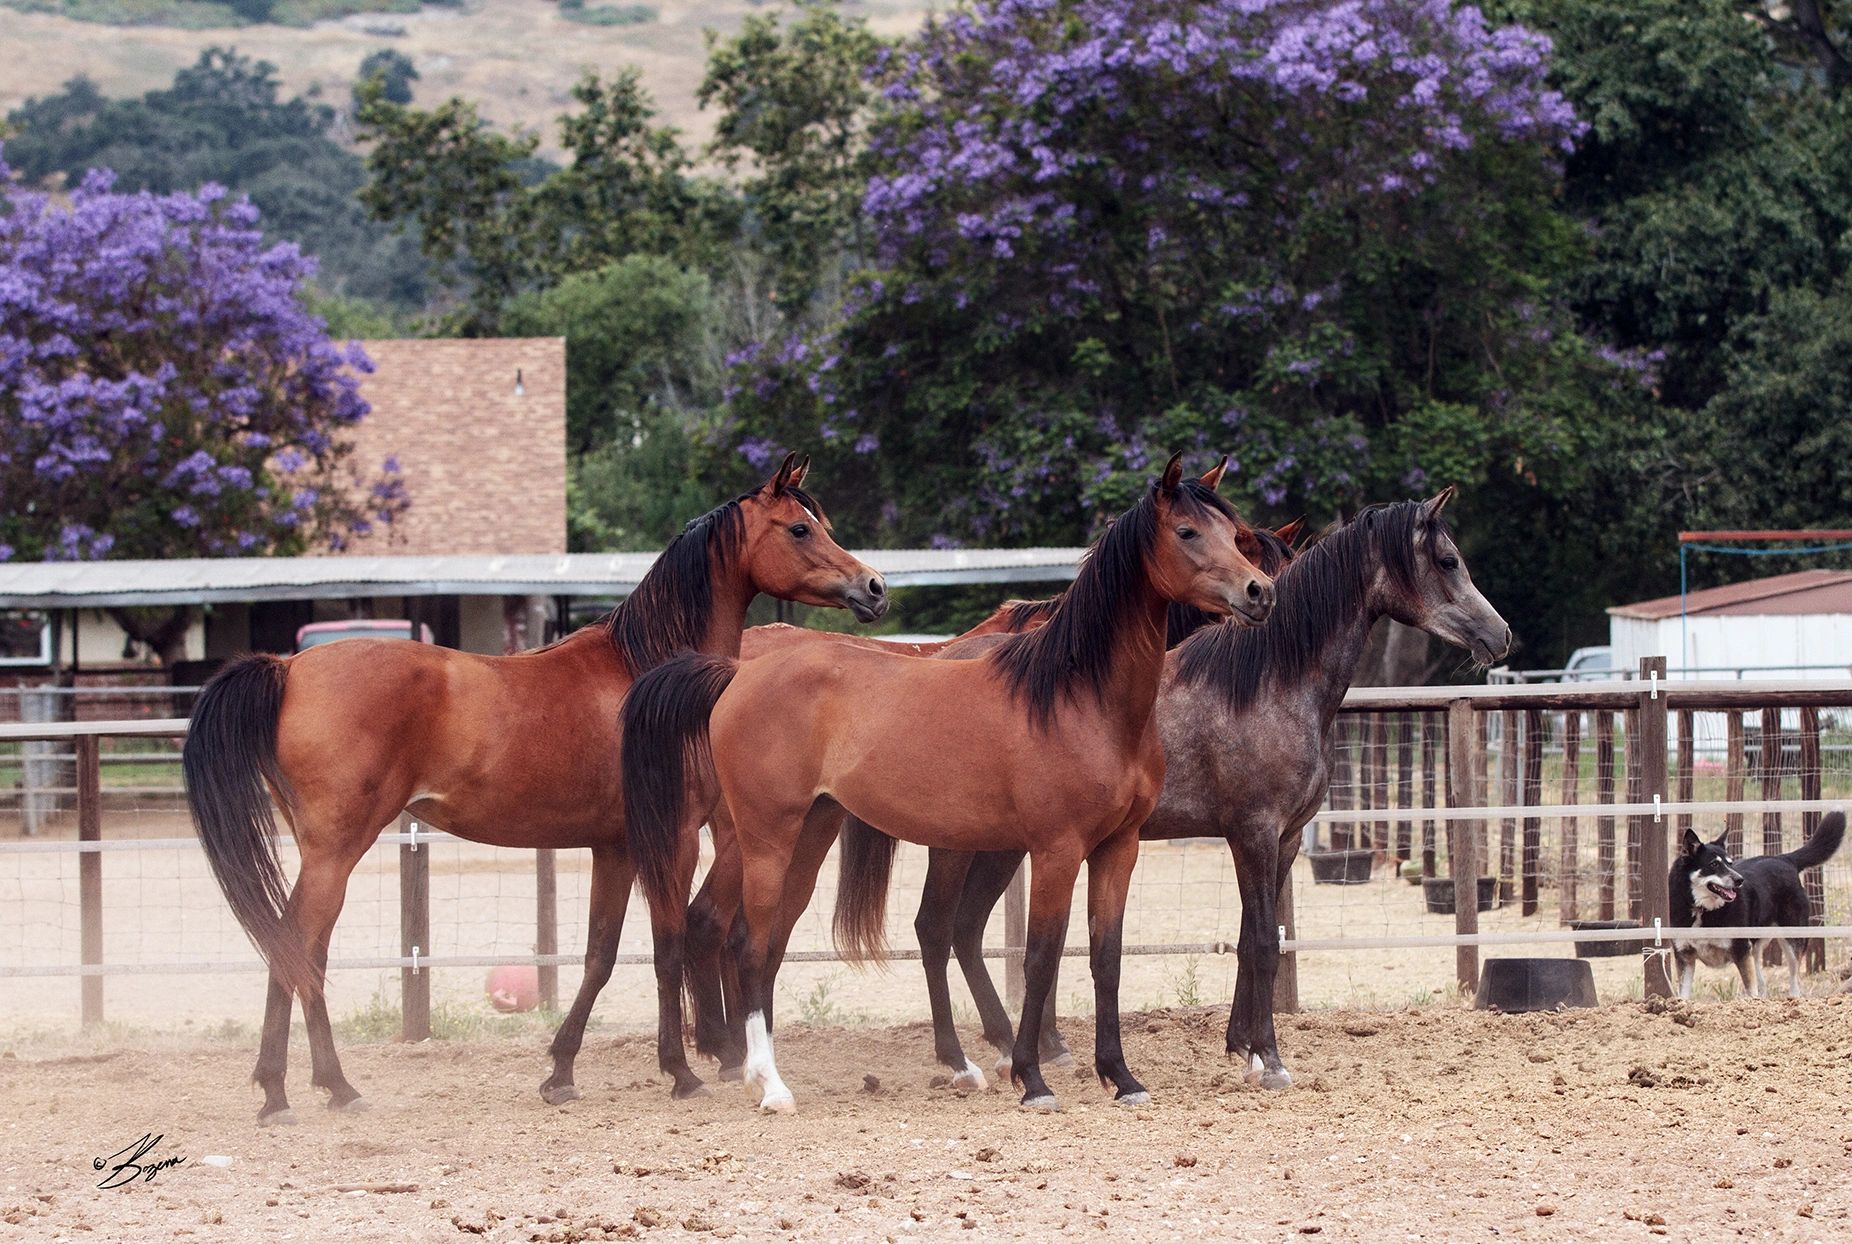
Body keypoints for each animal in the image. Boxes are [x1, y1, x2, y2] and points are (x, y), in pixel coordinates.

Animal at [181, 453, 887, 1124]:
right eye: (799, 528)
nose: (874, 587)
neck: (645, 669)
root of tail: (289, 668)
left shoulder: (616, 847)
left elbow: (600, 956)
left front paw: (561, 1072)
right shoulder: (673, 840)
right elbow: (666, 946)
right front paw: (680, 1073)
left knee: (295, 948)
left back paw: (287, 1090)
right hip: (336, 851)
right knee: (299, 944)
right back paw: (325, 1087)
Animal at [620, 454, 1275, 1113]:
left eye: (1234, 532)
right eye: (1187, 532)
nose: (1260, 592)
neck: (1079, 699)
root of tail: (736, 675)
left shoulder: (1120, 847)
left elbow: (1105, 959)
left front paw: (1122, 1078)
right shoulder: (1057, 850)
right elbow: (1040, 959)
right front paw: (1033, 1079)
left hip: (811, 833)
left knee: (769, 944)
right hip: (765, 838)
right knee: (747, 945)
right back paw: (770, 1085)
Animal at [855, 489, 1511, 1091]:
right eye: (1448, 560)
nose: (1501, 635)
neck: (1268, 682)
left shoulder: (1286, 840)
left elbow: (1252, 939)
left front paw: (1242, 1047)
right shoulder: (1253, 833)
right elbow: (1264, 944)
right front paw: (1270, 1060)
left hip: (1005, 844)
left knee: (965, 931)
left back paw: (1012, 1048)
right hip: (959, 844)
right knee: (936, 930)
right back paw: (960, 1062)